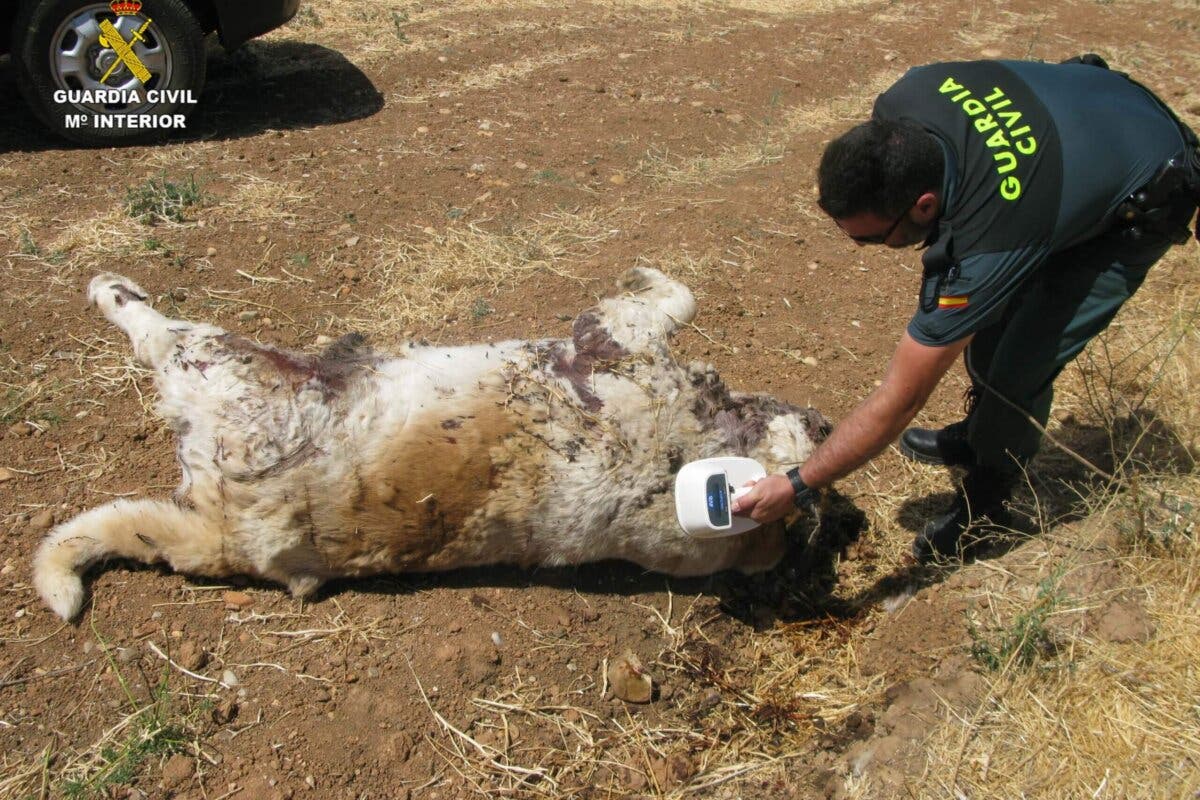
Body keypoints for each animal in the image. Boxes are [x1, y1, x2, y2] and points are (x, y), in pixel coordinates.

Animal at [32, 267, 830, 618]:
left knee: (149, 330)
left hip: (218, 360)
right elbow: (673, 301)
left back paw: (108, 286)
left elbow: (663, 303)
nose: (827, 427)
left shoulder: (618, 346)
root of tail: (226, 534)